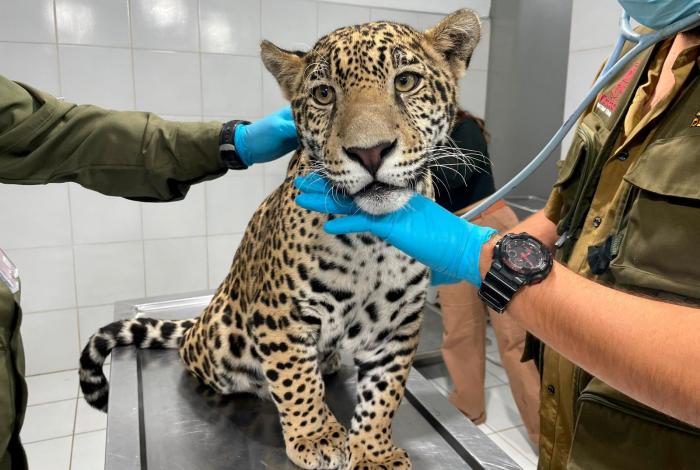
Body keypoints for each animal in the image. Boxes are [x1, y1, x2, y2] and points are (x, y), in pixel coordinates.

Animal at [78, 9, 481, 470]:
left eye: (406, 81)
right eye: (324, 94)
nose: (370, 152)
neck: (370, 239)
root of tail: (200, 321)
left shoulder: (397, 327)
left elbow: (384, 394)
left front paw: (373, 451)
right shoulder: (280, 315)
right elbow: (296, 380)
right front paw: (317, 437)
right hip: (221, 342)